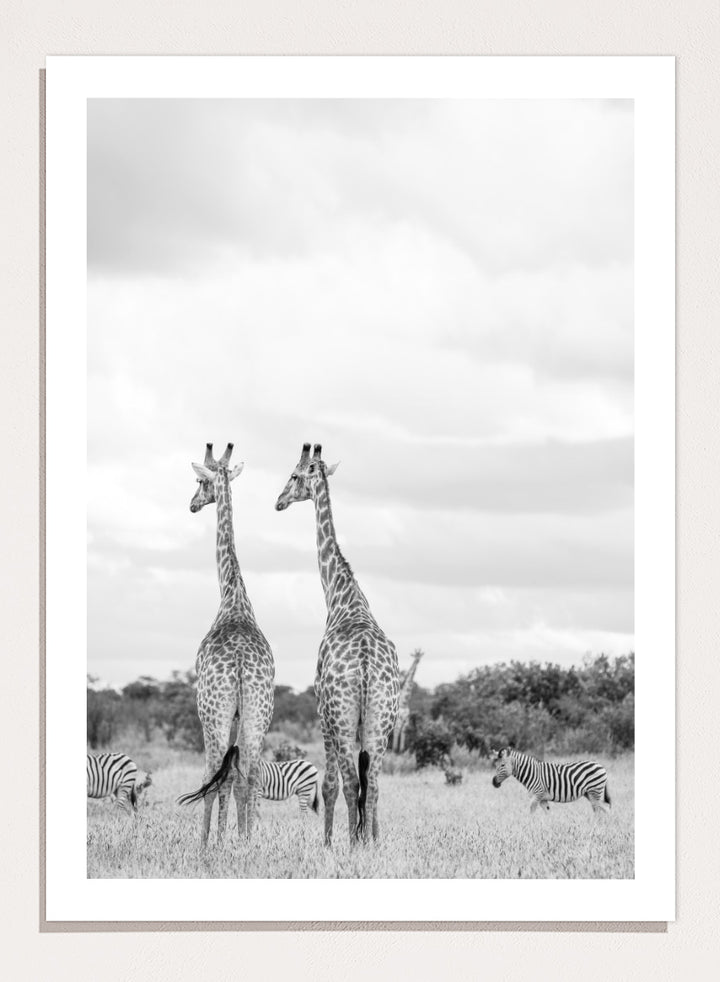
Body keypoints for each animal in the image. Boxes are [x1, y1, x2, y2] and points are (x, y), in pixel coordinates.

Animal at [275, 443, 399, 846]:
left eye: (294, 475)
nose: (279, 501)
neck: (342, 597)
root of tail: (364, 666)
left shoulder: (322, 715)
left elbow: (329, 786)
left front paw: (329, 842)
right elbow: (367, 786)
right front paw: (369, 837)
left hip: (343, 722)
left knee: (349, 784)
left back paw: (351, 844)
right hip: (381, 723)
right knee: (372, 785)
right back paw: (369, 844)